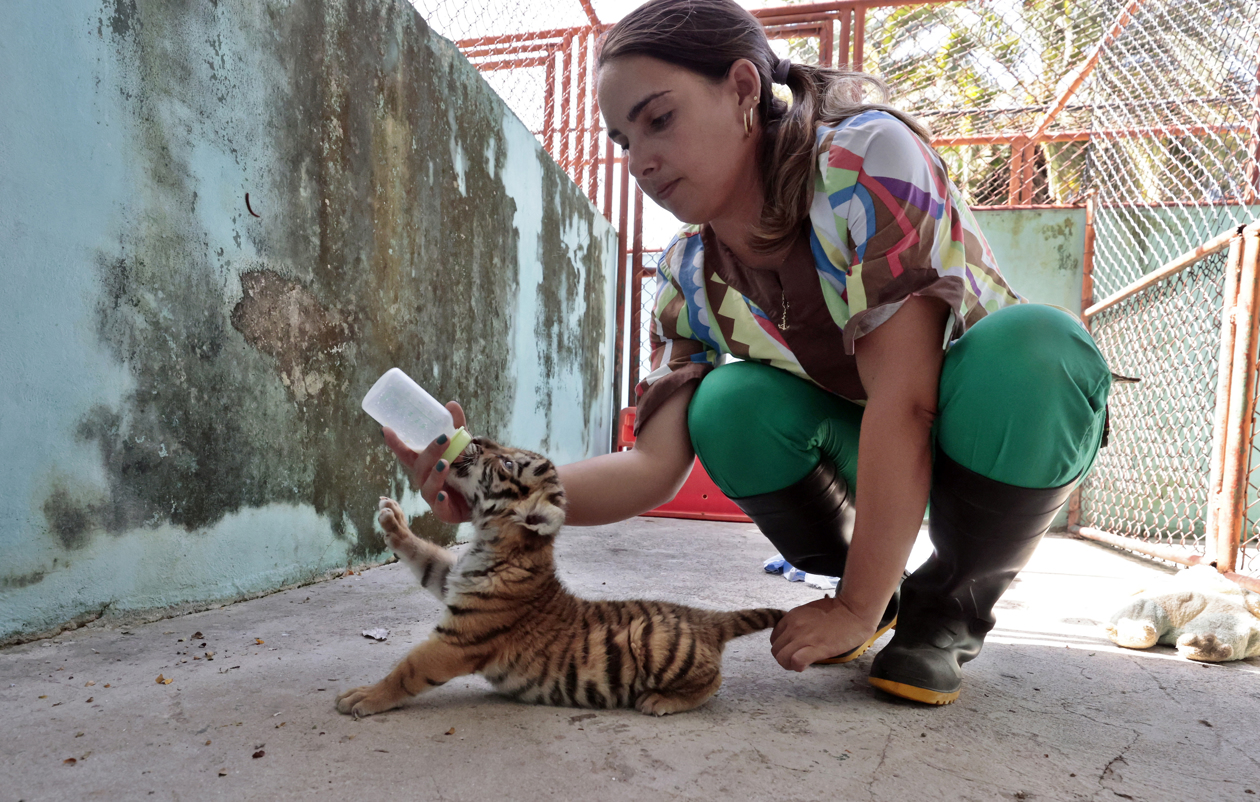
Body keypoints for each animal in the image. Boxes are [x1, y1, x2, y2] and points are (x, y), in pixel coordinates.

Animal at [335, 437, 785, 718]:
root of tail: (706, 618)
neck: (493, 542)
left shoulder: (459, 640)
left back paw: (660, 701)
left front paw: (364, 697)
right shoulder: (450, 578)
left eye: (507, 462)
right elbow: (425, 555)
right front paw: (392, 521)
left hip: (655, 643)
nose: (476, 437)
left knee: (714, 680)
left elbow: (408, 670)